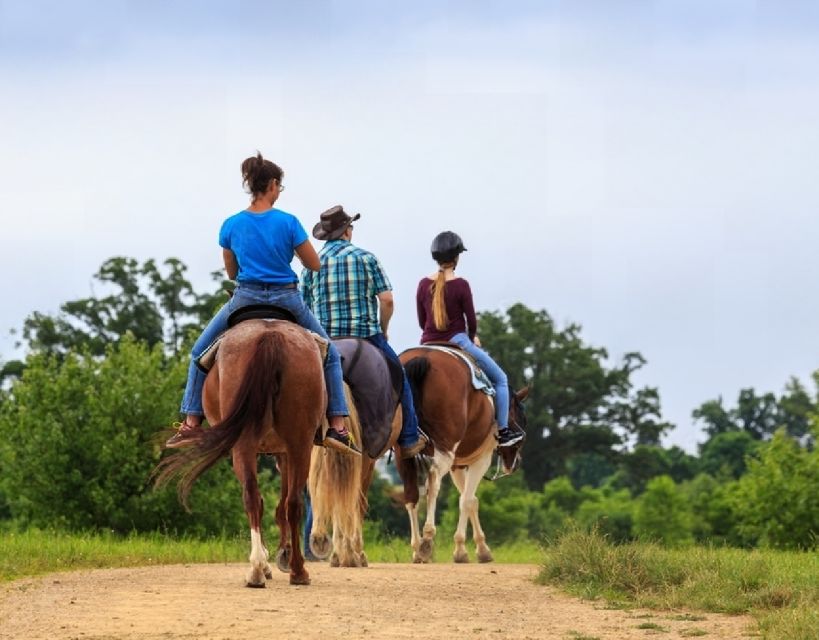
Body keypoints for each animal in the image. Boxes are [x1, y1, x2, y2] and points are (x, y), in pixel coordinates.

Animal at [157, 318, 356, 588]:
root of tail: (270, 336)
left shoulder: (279, 452)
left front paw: (278, 557)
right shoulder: (285, 452)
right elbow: (281, 504)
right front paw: (281, 556)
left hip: (252, 445)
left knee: (257, 497)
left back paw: (263, 569)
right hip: (297, 443)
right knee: (288, 501)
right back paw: (290, 571)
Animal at [398, 348, 528, 564]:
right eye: (522, 418)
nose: (515, 463)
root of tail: (423, 357)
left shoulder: (457, 465)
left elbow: (471, 500)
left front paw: (479, 548)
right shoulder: (481, 460)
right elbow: (466, 500)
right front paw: (462, 550)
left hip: (403, 454)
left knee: (411, 495)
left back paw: (416, 548)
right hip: (444, 451)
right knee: (433, 481)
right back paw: (427, 539)